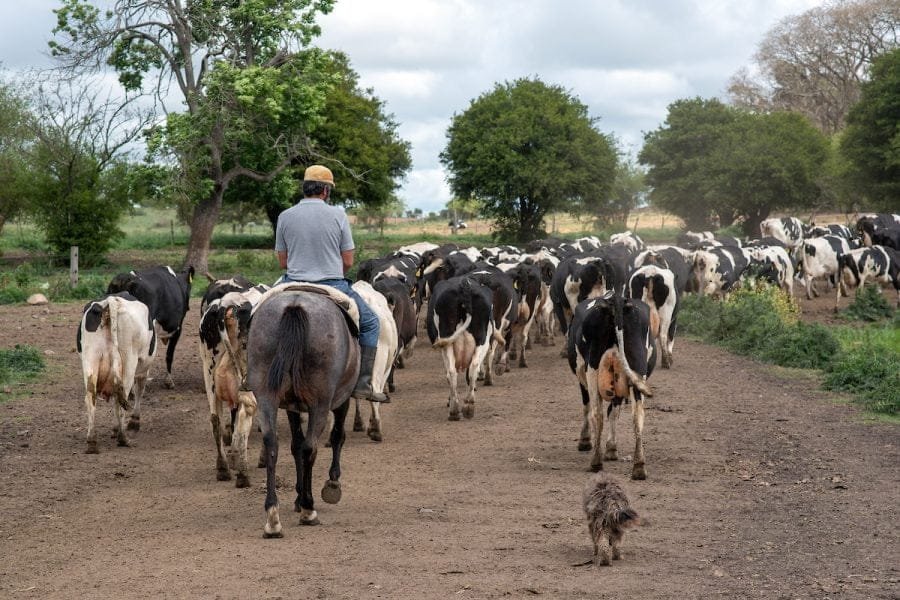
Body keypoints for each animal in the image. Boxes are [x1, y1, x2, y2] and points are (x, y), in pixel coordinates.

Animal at [77, 292, 156, 452]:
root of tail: (110, 301)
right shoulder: (143, 370)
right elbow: (139, 391)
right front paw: (133, 423)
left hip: (90, 360)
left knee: (91, 398)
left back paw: (92, 442)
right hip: (129, 361)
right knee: (122, 398)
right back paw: (123, 439)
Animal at [248, 288, 360, 536]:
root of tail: (294, 305)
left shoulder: (291, 406)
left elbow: (295, 445)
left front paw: (298, 497)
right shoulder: (341, 398)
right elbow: (336, 436)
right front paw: (331, 485)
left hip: (267, 395)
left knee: (272, 443)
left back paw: (273, 517)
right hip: (320, 402)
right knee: (310, 447)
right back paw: (309, 510)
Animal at [428, 274, 496, 420]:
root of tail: (464, 285)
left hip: (447, 341)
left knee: (452, 372)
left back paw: (454, 409)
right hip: (482, 339)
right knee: (472, 368)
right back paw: (468, 406)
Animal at [568, 292, 656, 480]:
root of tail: (616, 301)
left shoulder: (582, 378)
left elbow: (588, 408)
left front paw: (585, 441)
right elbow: (614, 411)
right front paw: (611, 448)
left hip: (592, 369)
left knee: (597, 413)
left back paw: (596, 462)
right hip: (637, 369)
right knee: (637, 415)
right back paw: (639, 467)